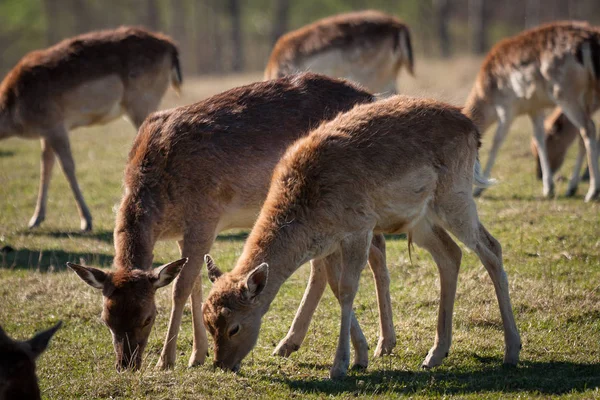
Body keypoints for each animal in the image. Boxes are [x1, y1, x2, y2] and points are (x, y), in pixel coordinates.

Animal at [0, 25, 183, 231]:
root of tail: (171, 47)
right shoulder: (45, 131)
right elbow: (46, 165)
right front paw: (35, 219)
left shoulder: (55, 124)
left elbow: (67, 167)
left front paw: (86, 221)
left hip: (142, 101)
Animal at [65, 72, 396, 372]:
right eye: (106, 318)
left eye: (148, 317)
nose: (126, 364)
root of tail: (370, 96)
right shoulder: (184, 232)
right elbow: (195, 283)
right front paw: (197, 355)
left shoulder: (204, 218)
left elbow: (180, 287)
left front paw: (166, 360)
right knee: (322, 266)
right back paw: (288, 344)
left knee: (377, 252)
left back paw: (385, 343)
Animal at [202, 95, 520, 380]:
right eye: (208, 323)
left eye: (234, 327)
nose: (221, 365)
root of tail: (472, 128)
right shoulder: (329, 244)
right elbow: (333, 286)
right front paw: (362, 356)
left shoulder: (359, 228)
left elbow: (347, 289)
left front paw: (340, 365)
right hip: (420, 219)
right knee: (450, 254)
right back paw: (435, 354)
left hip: (455, 197)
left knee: (492, 248)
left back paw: (511, 351)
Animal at [464, 20, 600, 202]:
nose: (538, 175)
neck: (486, 97)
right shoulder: (534, 108)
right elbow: (538, 137)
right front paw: (548, 188)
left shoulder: (506, 107)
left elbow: (496, 141)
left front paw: (479, 190)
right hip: (588, 94)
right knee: (582, 132)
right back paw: (571, 187)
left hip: (564, 92)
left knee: (588, 127)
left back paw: (592, 192)